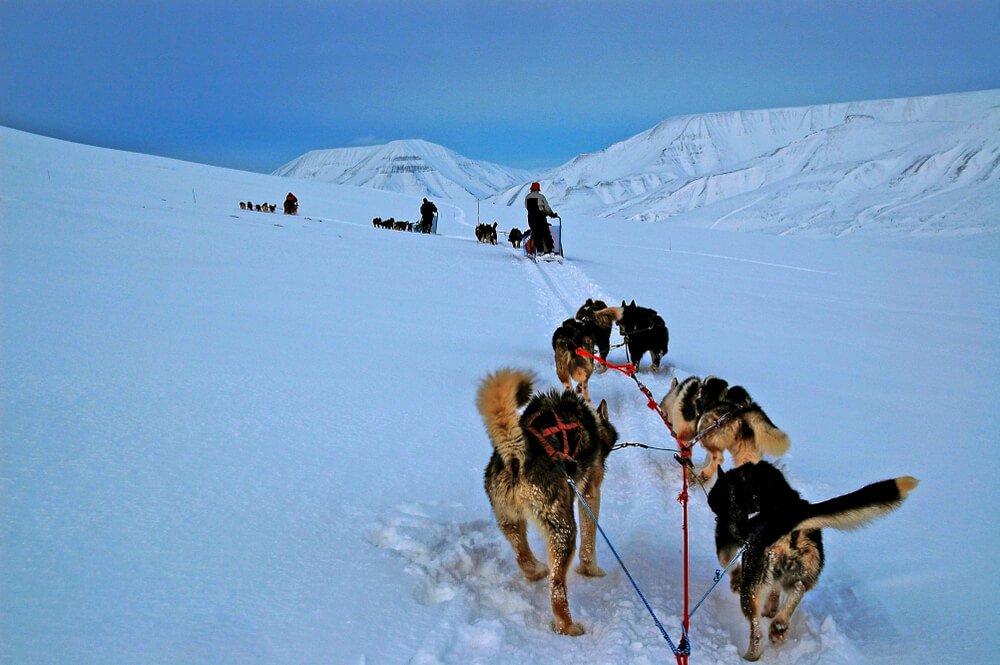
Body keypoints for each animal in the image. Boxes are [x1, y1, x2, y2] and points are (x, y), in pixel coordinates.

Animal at [476, 368, 616, 632]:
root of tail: (517, 458)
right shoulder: (590, 493)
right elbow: (589, 544)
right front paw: (591, 571)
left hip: (510, 521)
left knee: (523, 559)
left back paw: (537, 570)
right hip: (564, 531)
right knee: (557, 589)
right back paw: (569, 628)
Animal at [660, 376, 792, 480]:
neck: (676, 397)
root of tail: (742, 410)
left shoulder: (685, 437)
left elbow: (687, 458)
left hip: (705, 432)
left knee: (719, 458)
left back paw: (704, 475)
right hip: (744, 453)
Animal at [708, 462, 916, 660]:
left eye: (715, 494)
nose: (710, 500)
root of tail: (789, 522)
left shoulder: (726, 539)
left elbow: (727, 562)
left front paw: (735, 582)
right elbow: (774, 591)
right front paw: (771, 609)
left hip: (752, 589)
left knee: (756, 628)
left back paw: (752, 654)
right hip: (801, 573)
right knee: (798, 589)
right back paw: (778, 625)